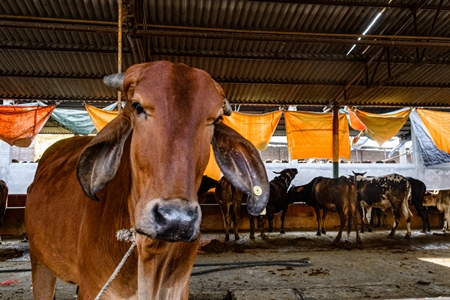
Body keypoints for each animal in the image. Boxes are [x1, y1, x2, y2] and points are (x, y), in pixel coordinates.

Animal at [24, 59, 268, 298]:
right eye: (137, 106)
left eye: (215, 120)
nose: (176, 220)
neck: (150, 258)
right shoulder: (93, 289)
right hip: (40, 263)